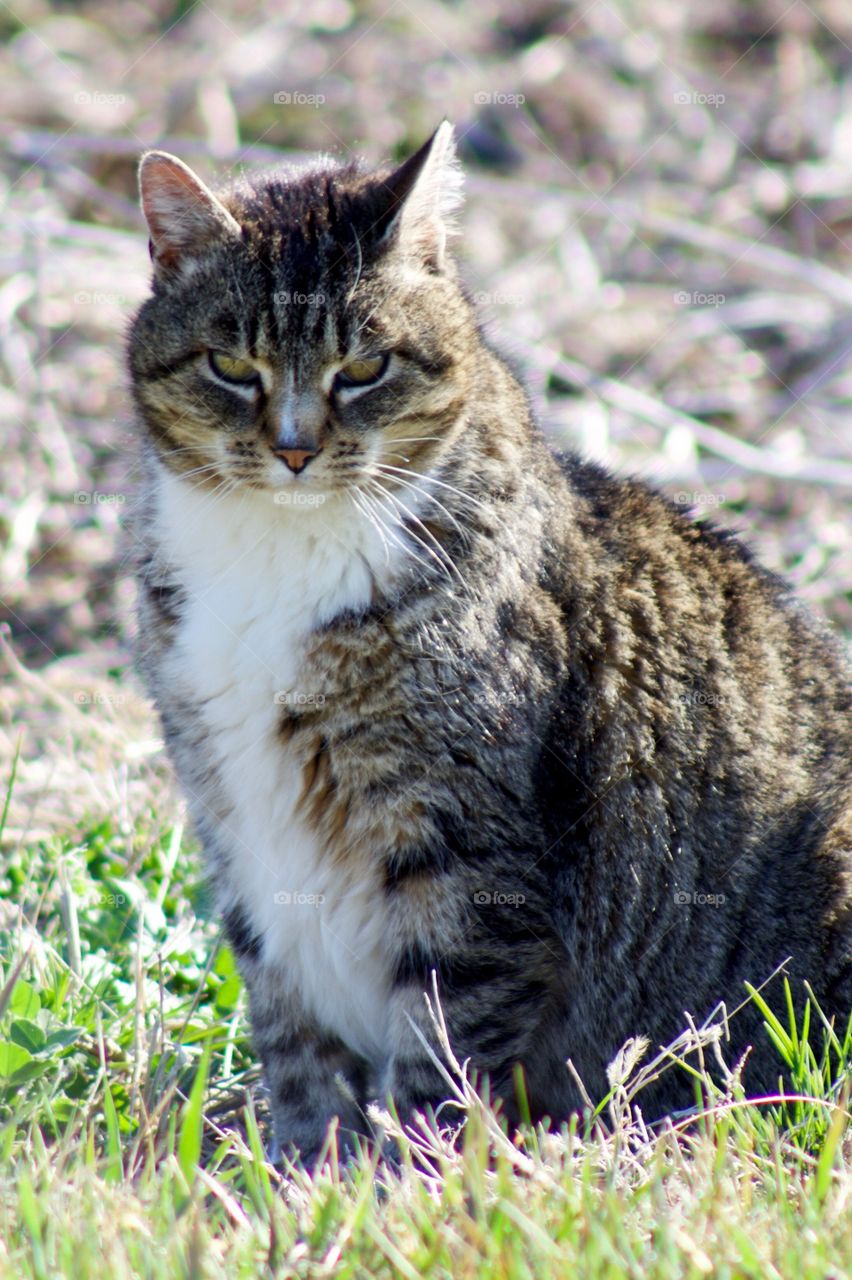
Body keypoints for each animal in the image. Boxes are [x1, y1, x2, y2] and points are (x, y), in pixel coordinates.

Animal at [126, 124, 849, 1167]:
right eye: (230, 367)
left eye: (365, 369)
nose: (296, 449)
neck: (281, 548)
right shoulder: (238, 834)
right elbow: (295, 1041)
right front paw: (306, 1168)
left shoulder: (462, 852)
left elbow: (444, 1038)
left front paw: (403, 1177)